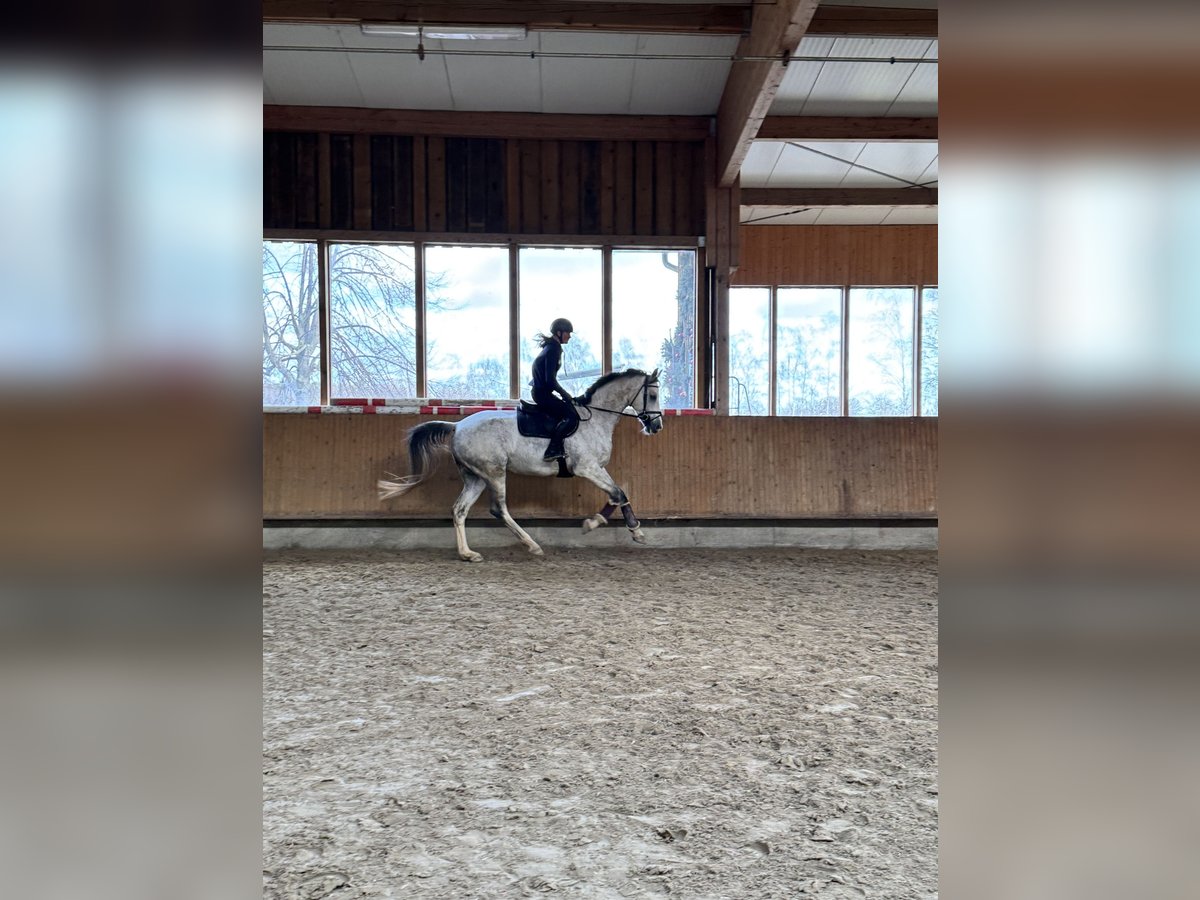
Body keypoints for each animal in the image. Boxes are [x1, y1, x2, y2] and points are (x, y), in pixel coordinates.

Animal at [379, 369, 667, 561]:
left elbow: (617, 494)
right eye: (652, 394)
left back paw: (467, 553)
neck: (594, 418)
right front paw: (619, 527)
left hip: (475, 477)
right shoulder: (587, 468)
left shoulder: (597, 468)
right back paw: (532, 545)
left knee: (460, 510)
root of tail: (458, 425)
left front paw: (619, 527)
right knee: (499, 509)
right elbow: (618, 492)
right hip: (494, 472)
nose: (656, 426)